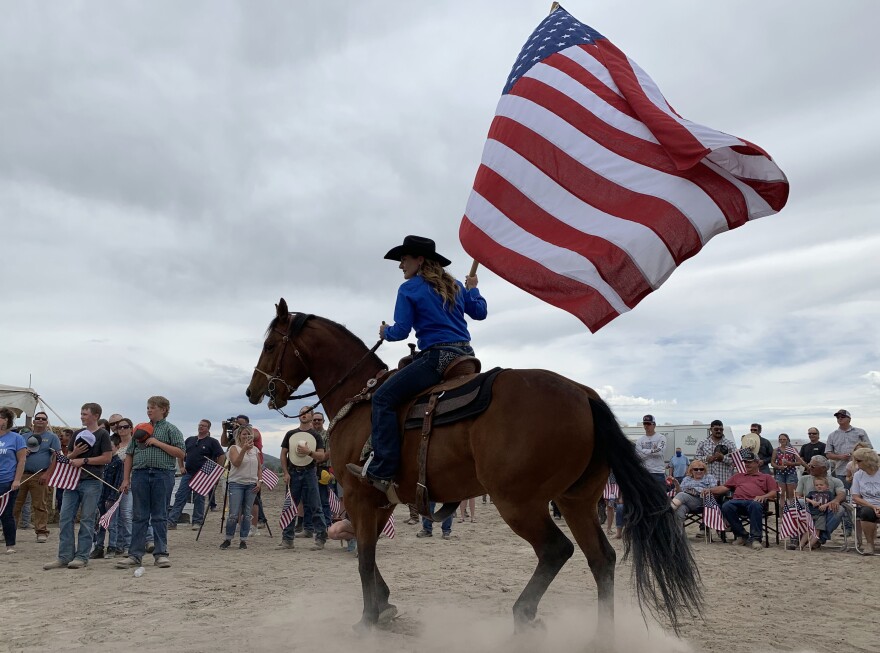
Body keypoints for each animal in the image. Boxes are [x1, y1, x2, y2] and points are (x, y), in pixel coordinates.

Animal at [246, 300, 700, 636]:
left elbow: (363, 557)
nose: (253, 391)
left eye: (269, 345)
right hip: (577, 501)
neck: (361, 400)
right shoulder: (381, 500)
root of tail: (584, 394)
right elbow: (369, 556)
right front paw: (386, 605)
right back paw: (601, 636)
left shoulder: (359, 496)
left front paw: (367, 619)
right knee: (601, 559)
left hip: (519, 502)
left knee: (557, 550)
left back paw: (524, 616)